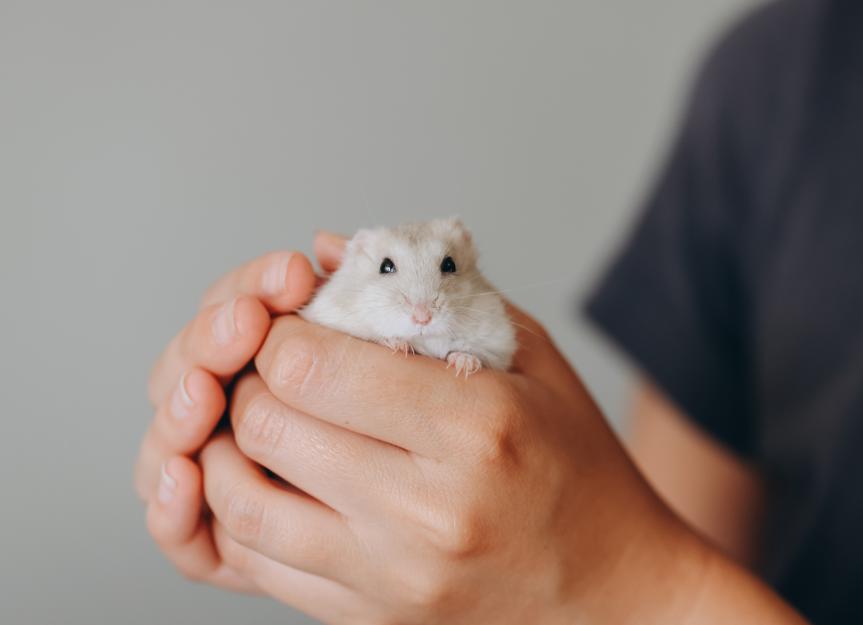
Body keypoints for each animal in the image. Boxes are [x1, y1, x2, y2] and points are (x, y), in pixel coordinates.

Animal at [300, 218, 516, 376]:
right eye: (385, 266)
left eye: (449, 264)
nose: (423, 318)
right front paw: (399, 346)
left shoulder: (498, 344)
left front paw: (465, 363)